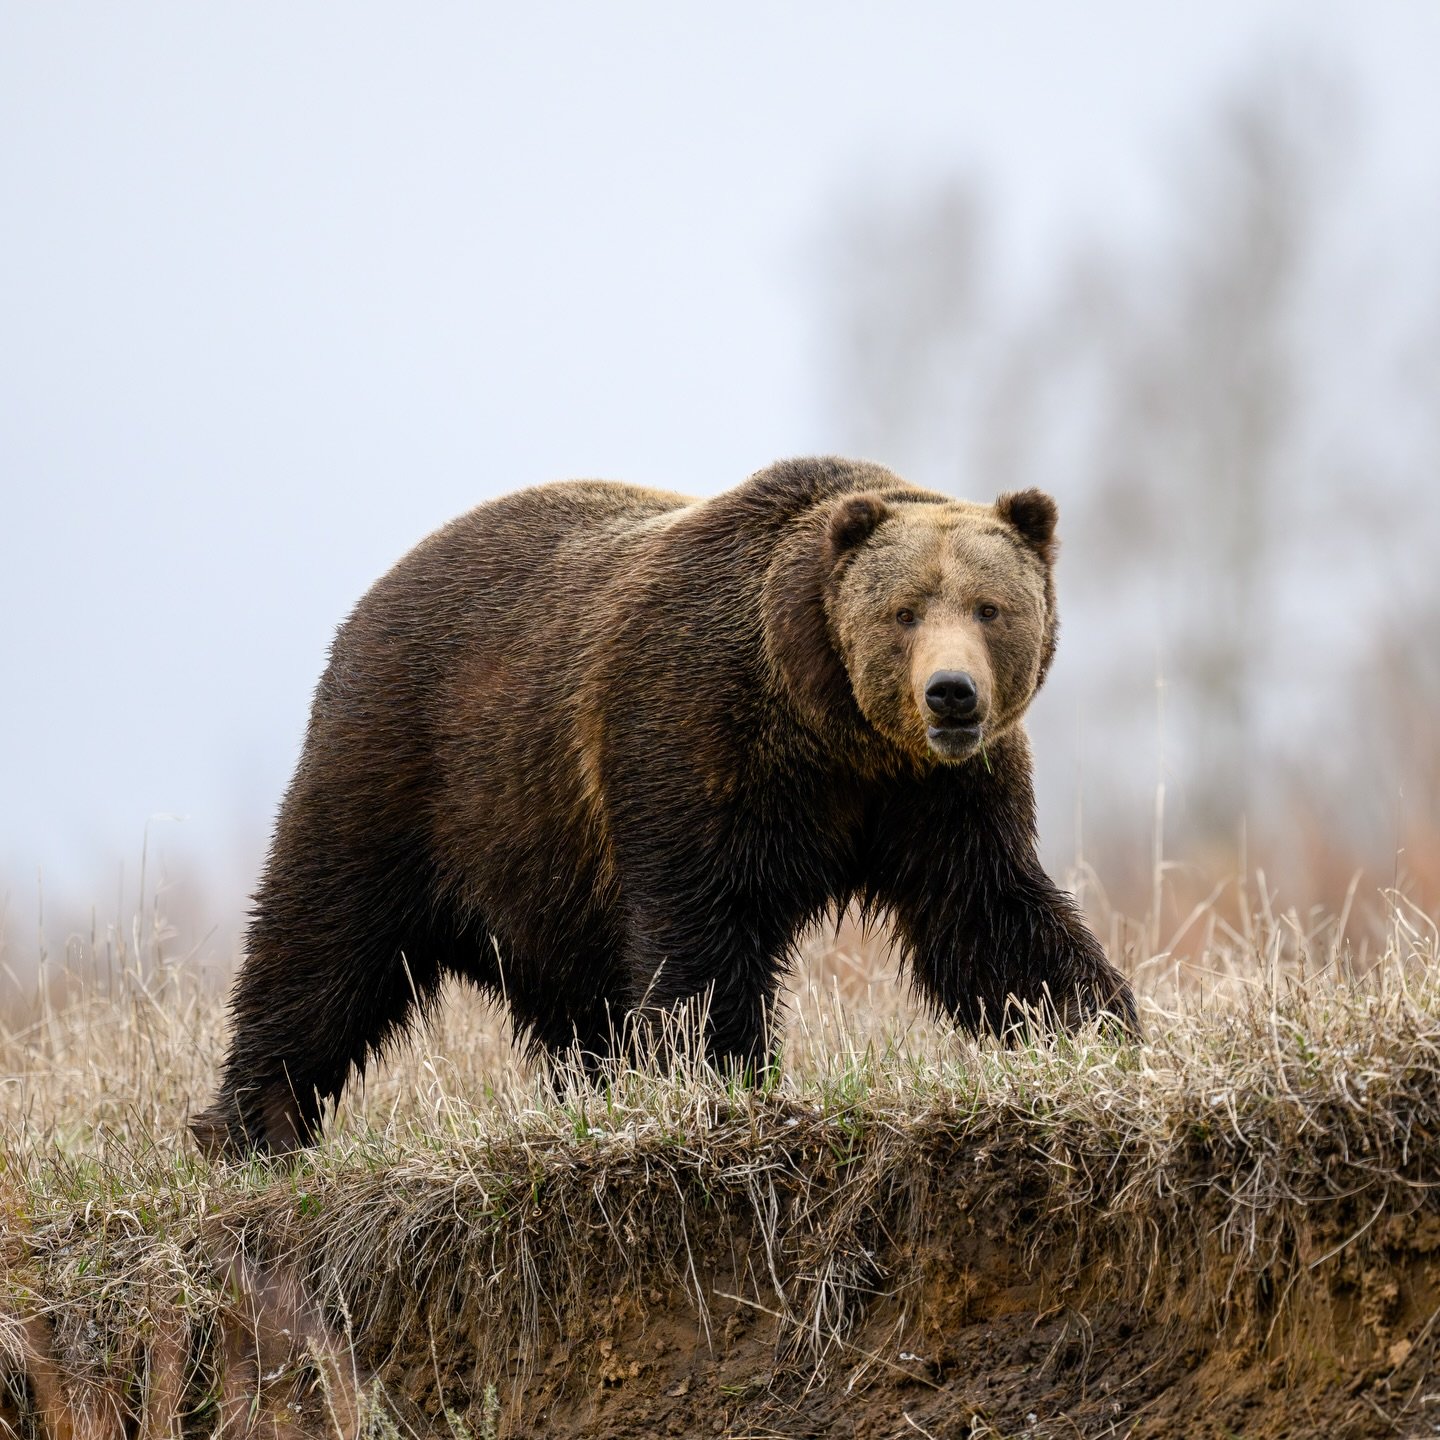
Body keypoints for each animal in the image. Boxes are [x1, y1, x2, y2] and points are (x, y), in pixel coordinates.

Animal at [191, 456, 1136, 1156]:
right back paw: (251, 1126)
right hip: (409, 767)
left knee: (568, 999)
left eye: (991, 606)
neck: (836, 734)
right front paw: (724, 1075)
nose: (951, 694)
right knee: (321, 944)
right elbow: (702, 931)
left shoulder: (936, 799)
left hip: (540, 866)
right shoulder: (697, 739)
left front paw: (1098, 1026)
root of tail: (373, 596)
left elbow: (990, 918)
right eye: (903, 612)